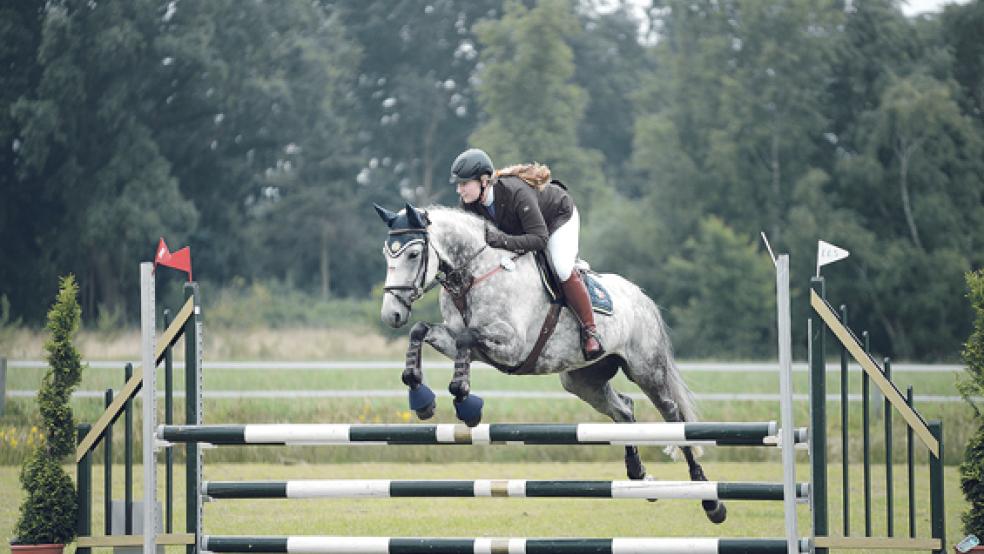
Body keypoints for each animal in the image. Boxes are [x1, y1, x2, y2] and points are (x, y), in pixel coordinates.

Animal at [372, 202, 728, 520]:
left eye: (412, 254)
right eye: (386, 255)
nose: (392, 315)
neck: (473, 273)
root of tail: (642, 296)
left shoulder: (511, 345)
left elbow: (465, 341)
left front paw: (465, 401)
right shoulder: (465, 342)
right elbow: (423, 331)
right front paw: (421, 398)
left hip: (647, 369)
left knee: (673, 416)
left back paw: (709, 499)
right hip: (582, 380)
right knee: (624, 409)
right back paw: (639, 476)